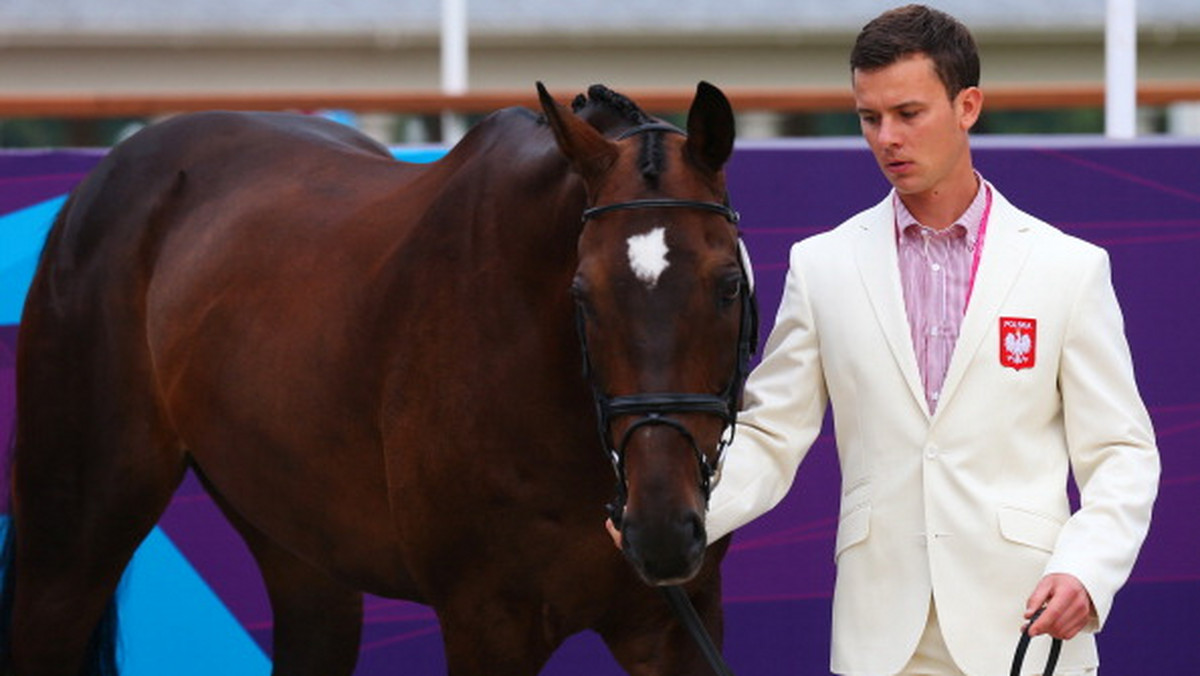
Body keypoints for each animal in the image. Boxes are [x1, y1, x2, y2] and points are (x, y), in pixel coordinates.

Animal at [0, 80, 753, 676]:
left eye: (726, 285)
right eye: (582, 294)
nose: (660, 530)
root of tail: (106, 178)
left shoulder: (674, 627)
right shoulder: (487, 623)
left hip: (300, 552)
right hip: (73, 539)